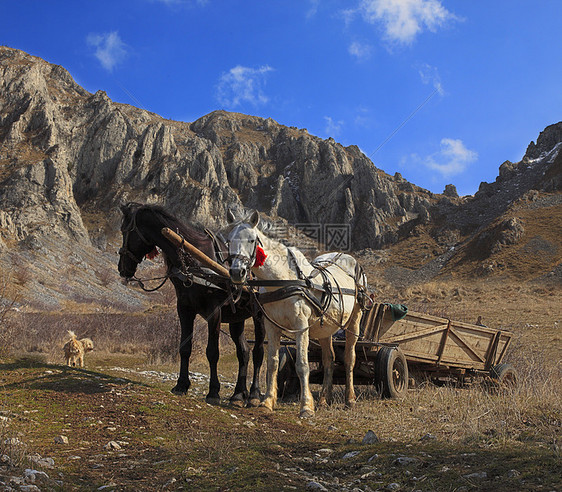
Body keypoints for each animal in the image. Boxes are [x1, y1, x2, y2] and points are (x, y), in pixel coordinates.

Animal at [116, 202, 264, 406]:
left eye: (125, 230)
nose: (122, 268)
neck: (196, 261)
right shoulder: (184, 308)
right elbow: (184, 348)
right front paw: (181, 385)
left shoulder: (214, 311)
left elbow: (212, 352)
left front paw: (213, 392)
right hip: (237, 318)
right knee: (244, 352)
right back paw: (238, 394)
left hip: (260, 315)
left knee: (258, 352)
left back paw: (255, 394)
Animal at [225, 211, 366, 418]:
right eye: (228, 241)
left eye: (251, 240)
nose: (237, 272)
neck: (282, 279)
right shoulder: (272, 326)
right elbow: (273, 363)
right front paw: (267, 402)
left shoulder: (301, 327)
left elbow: (302, 365)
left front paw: (306, 406)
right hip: (325, 329)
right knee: (329, 360)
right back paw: (323, 400)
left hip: (354, 321)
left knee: (349, 358)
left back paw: (350, 399)